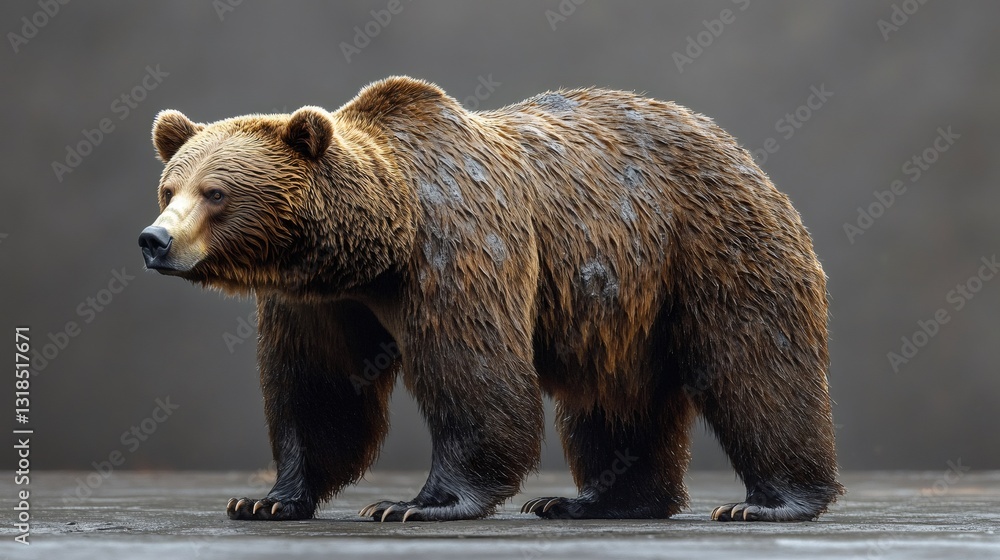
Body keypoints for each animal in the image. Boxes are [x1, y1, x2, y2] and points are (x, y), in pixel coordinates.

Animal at [139, 76, 843, 522]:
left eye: (216, 192)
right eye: (170, 186)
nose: (154, 240)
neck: (374, 249)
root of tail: (735, 146)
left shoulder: (458, 248)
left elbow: (473, 374)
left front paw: (416, 502)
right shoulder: (317, 302)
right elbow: (317, 390)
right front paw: (266, 498)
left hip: (709, 245)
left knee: (755, 365)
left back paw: (770, 500)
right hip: (623, 304)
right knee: (615, 397)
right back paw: (592, 500)